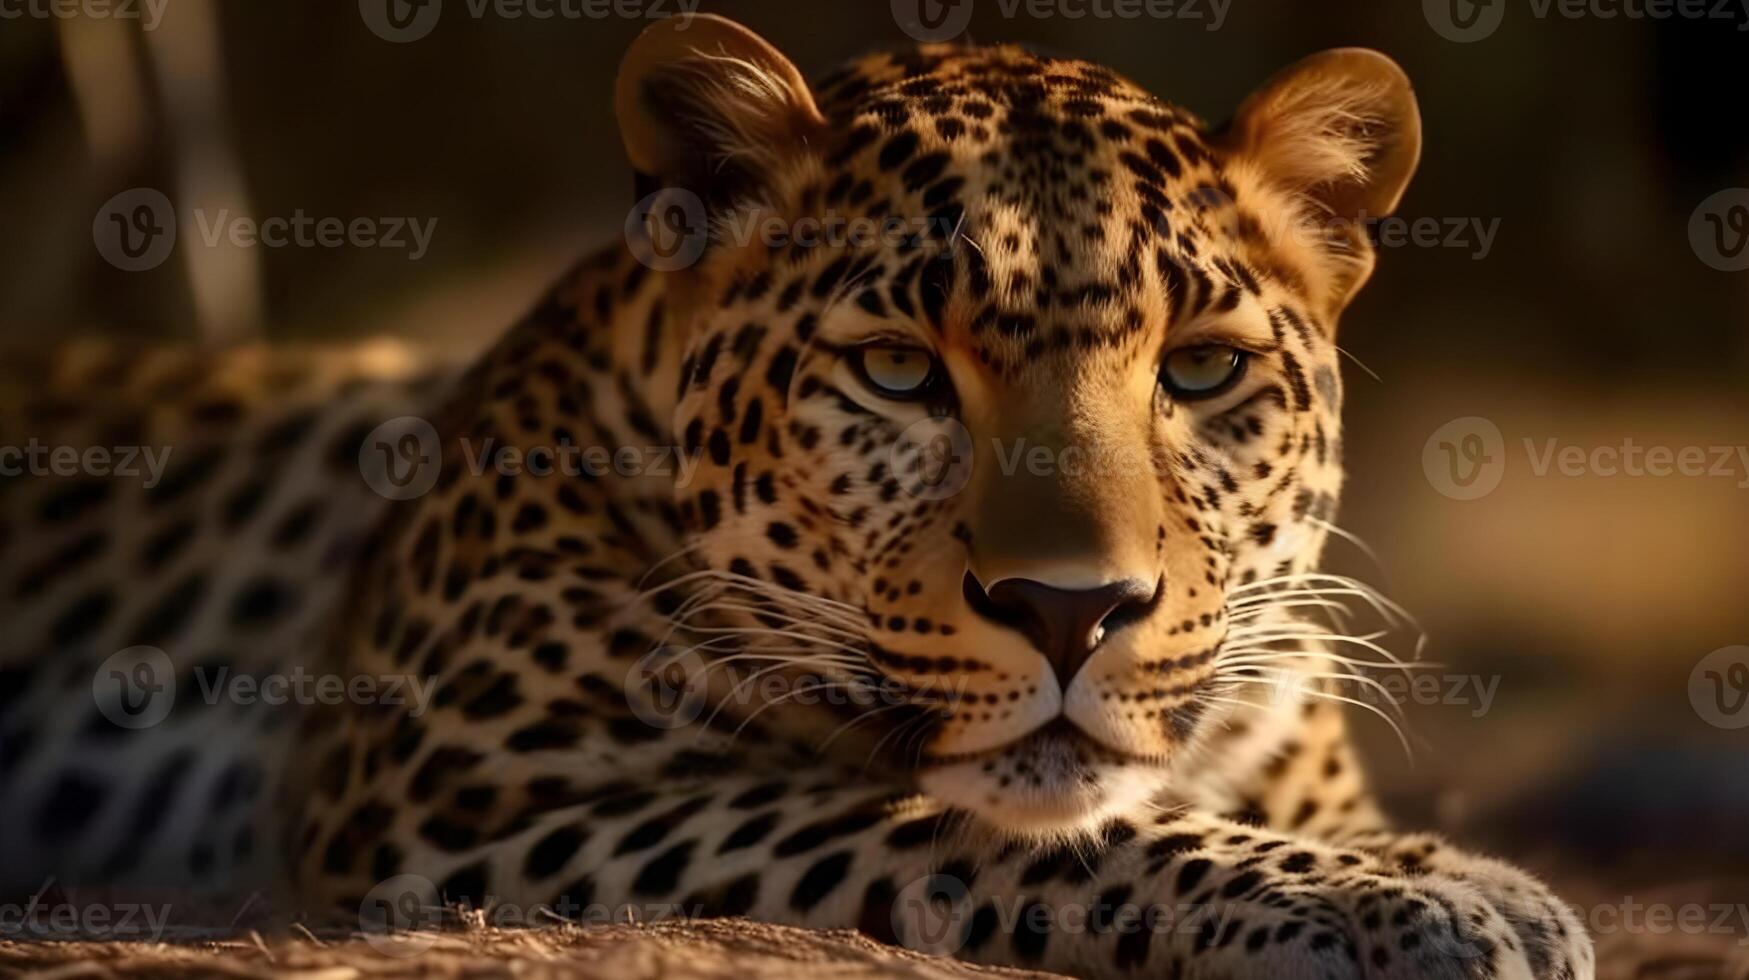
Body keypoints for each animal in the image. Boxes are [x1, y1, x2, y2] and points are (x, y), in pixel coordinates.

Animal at [0, 15, 1595, 980]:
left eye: (1200, 370)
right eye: (897, 370)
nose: (1068, 612)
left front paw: (1442, 872)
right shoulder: (456, 807)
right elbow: (962, 825)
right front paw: (1403, 905)